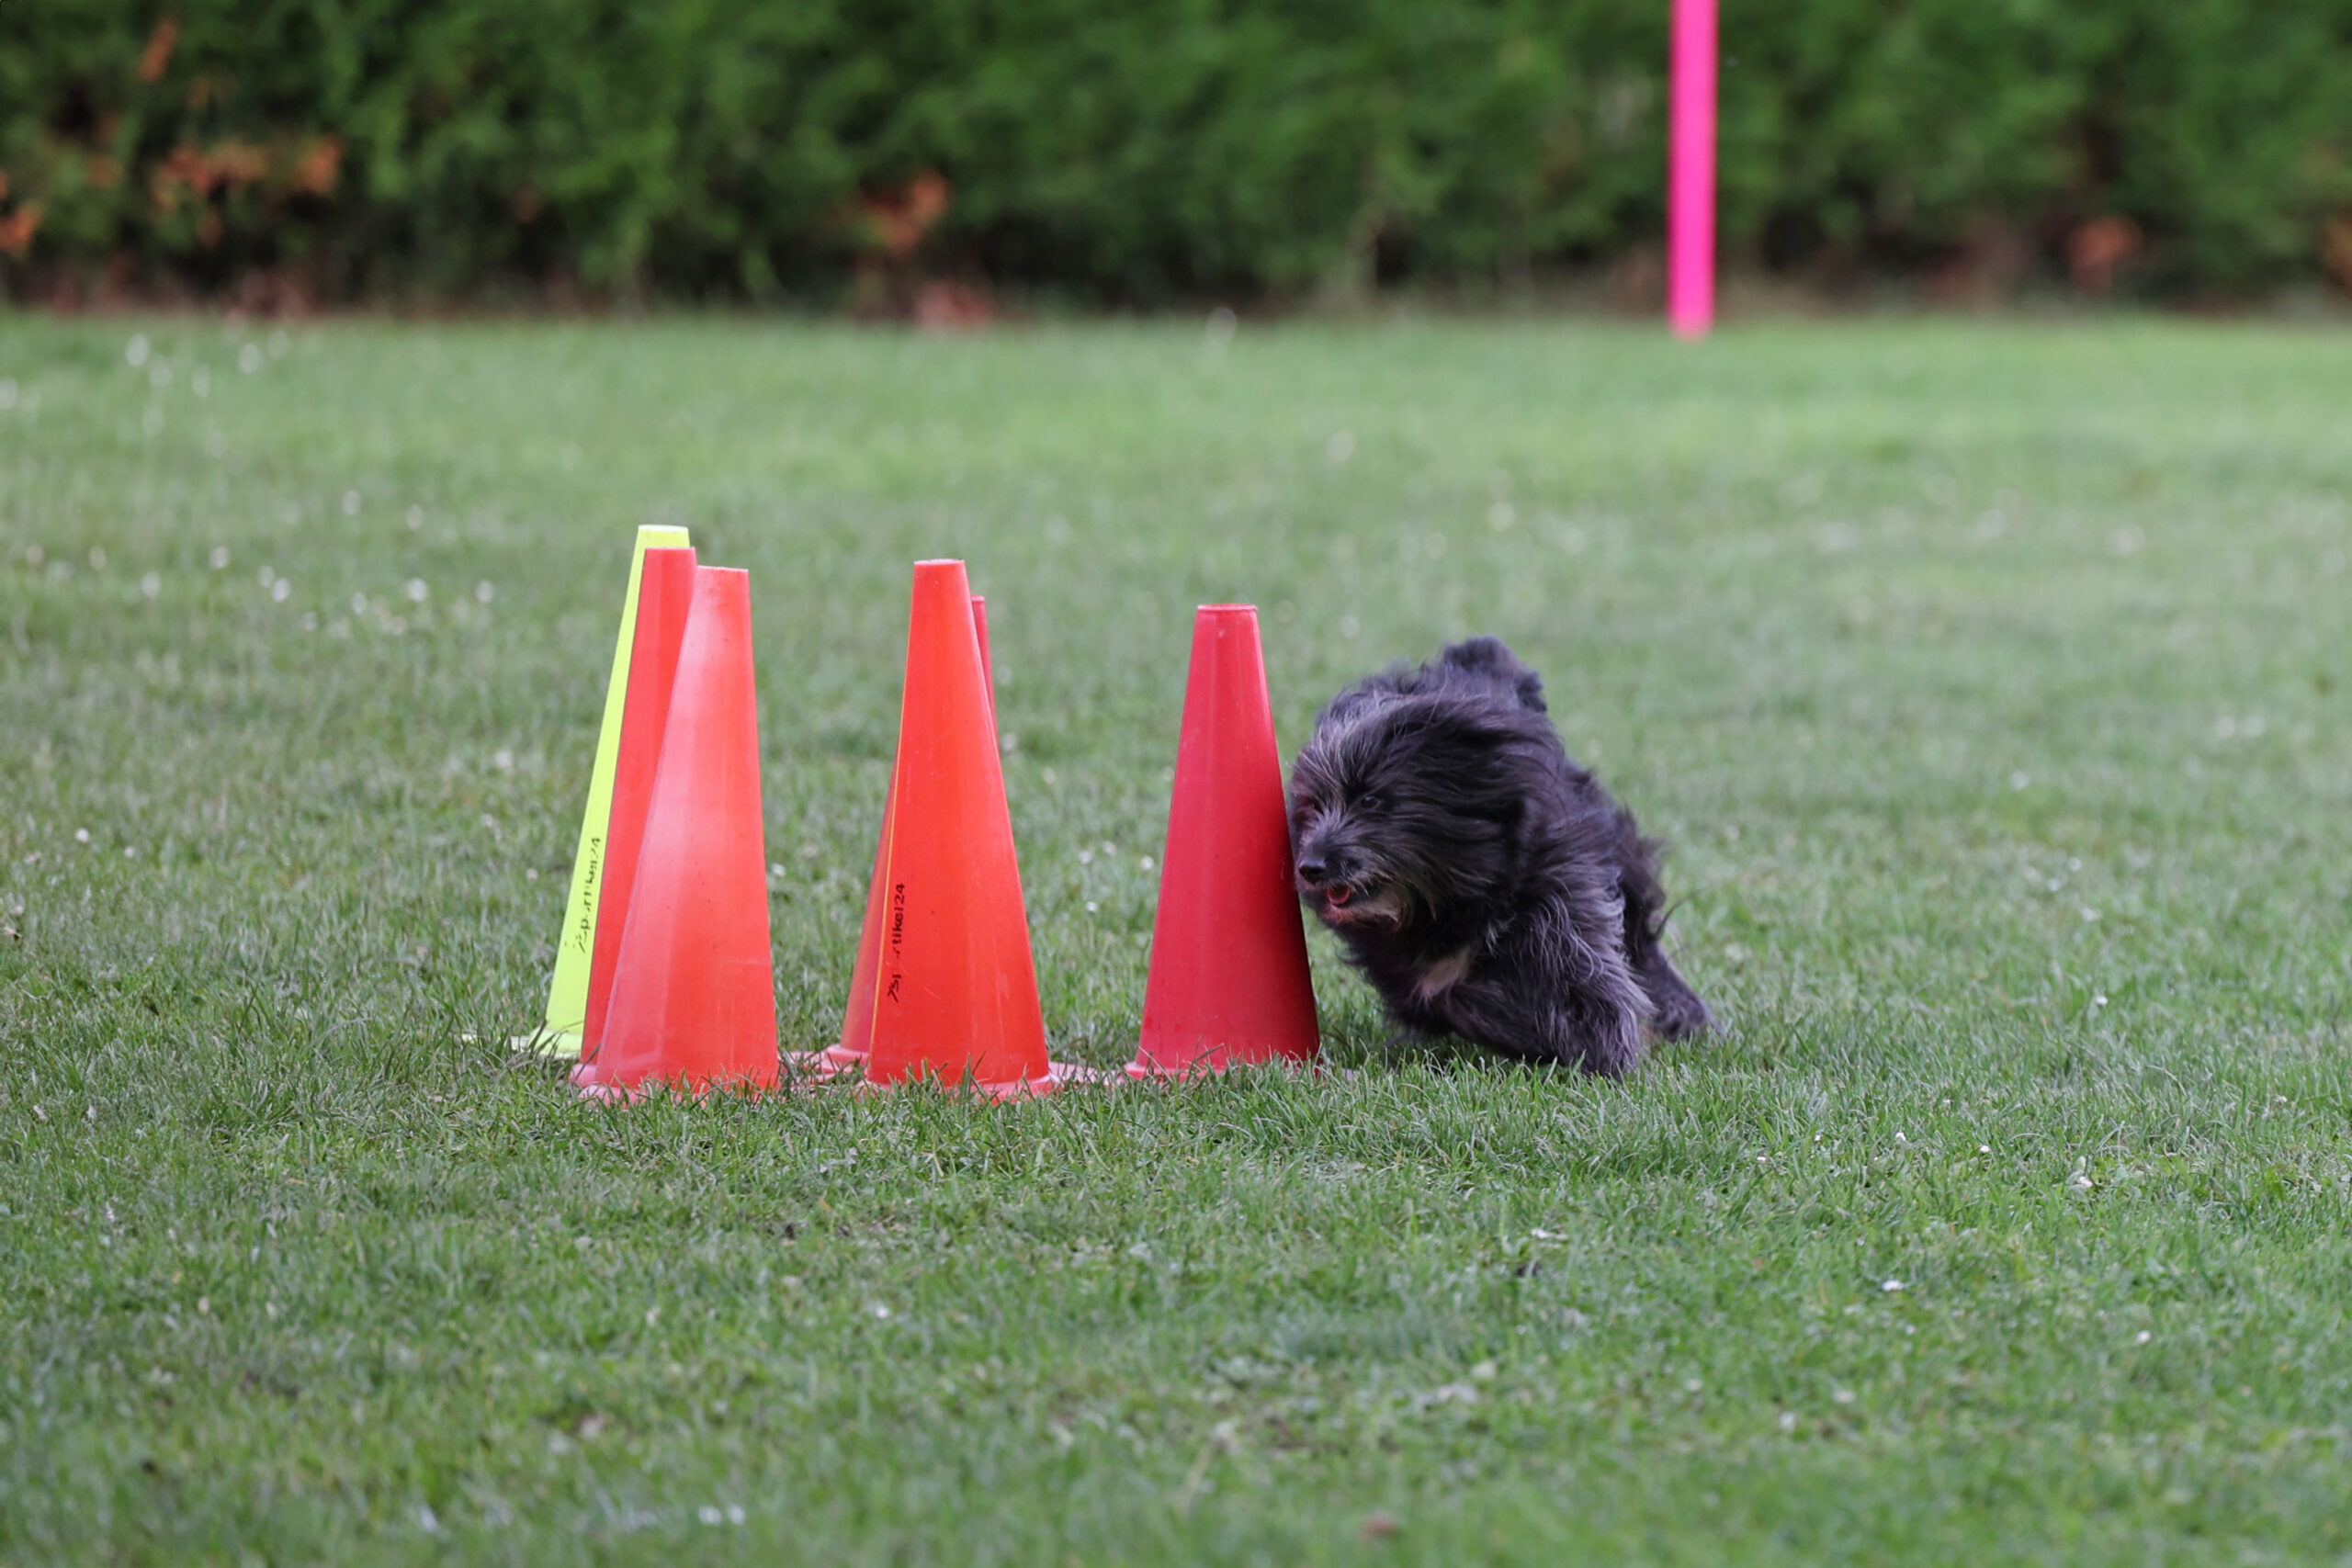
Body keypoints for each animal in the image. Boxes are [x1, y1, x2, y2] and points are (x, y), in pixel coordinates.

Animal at [1288, 637, 1708, 1074]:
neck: (1448, 900)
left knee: (1640, 940)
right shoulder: (1405, 965)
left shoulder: (1562, 886)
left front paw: (1599, 1051)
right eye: (1313, 804)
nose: (1311, 867)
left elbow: (1584, 982)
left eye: (1370, 800)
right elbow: (1448, 998)